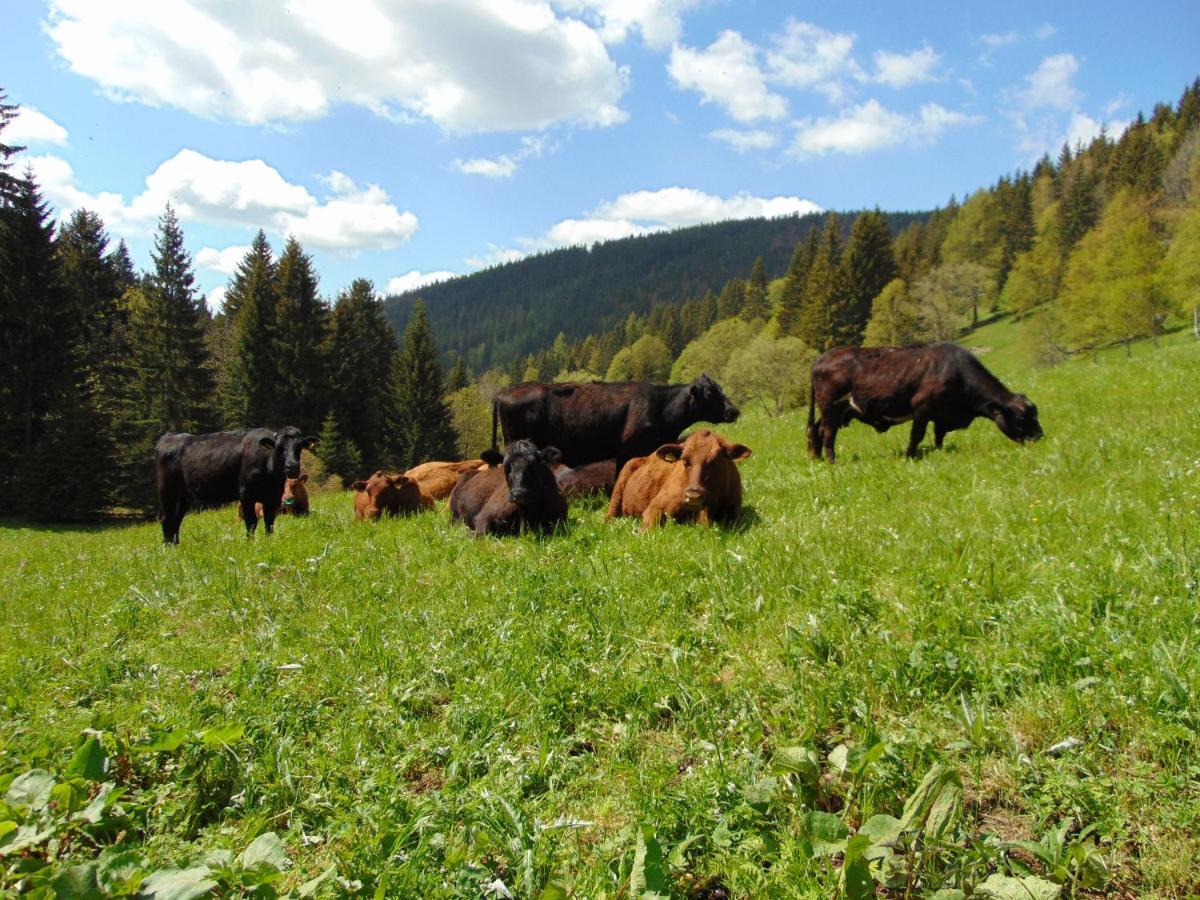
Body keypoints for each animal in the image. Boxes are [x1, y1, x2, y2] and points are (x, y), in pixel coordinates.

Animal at [154, 427, 319, 547]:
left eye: (299, 446)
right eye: (279, 447)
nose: (292, 466)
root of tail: (168, 437)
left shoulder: (273, 498)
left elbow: (269, 522)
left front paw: (269, 541)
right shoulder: (246, 494)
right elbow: (251, 521)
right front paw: (250, 543)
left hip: (184, 496)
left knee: (176, 519)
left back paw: (176, 545)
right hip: (167, 491)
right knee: (166, 518)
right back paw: (168, 546)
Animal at [489, 374, 734, 472]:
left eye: (721, 388)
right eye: (710, 392)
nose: (734, 410)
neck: (661, 406)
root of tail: (503, 391)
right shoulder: (626, 449)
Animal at [806, 340, 1041, 460]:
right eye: (1021, 418)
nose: (1039, 436)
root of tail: (821, 358)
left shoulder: (941, 415)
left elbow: (939, 435)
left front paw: (938, 452)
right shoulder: (922, 406)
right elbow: (917, 435)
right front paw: (910, 456)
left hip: (835, 411)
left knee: (816, 430)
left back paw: (817, 458)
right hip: (830, 407)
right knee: (827, 433)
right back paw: (832, 461)